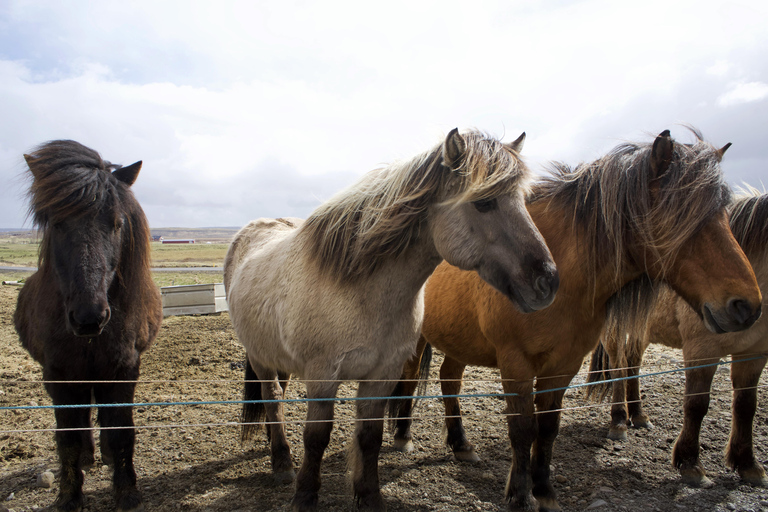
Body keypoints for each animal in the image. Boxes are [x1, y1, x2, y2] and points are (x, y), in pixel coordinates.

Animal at [13, 140, 162, 512]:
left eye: (117, 223)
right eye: (56, 223)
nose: (89, 316)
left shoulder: (123, 371)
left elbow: (121, 432)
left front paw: (126, 492)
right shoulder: (60, 375)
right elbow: (67, 437)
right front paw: (69, 496)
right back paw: (87, 458)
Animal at [224, 128, 559, 511]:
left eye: (522, 200)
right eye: (484, 202)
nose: (547, 282)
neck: (361, 291)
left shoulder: (382, 374)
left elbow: (369, 437)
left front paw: (369, 497)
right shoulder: (323, 376)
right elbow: (316, 438)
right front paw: (305, 497)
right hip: (260, 357)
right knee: (271, 398)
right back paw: (281, 462)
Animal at [587, 189, 768, 488]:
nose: (746, 309)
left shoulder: (754, 354)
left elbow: (746, 406)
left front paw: (748, 464)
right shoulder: (702, 350)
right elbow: (696, 405)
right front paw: (691, 464)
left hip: (641, 332)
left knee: (632, 366)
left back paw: (638, 415)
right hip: (616, 330)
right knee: (619, 368)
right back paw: (619, 421)